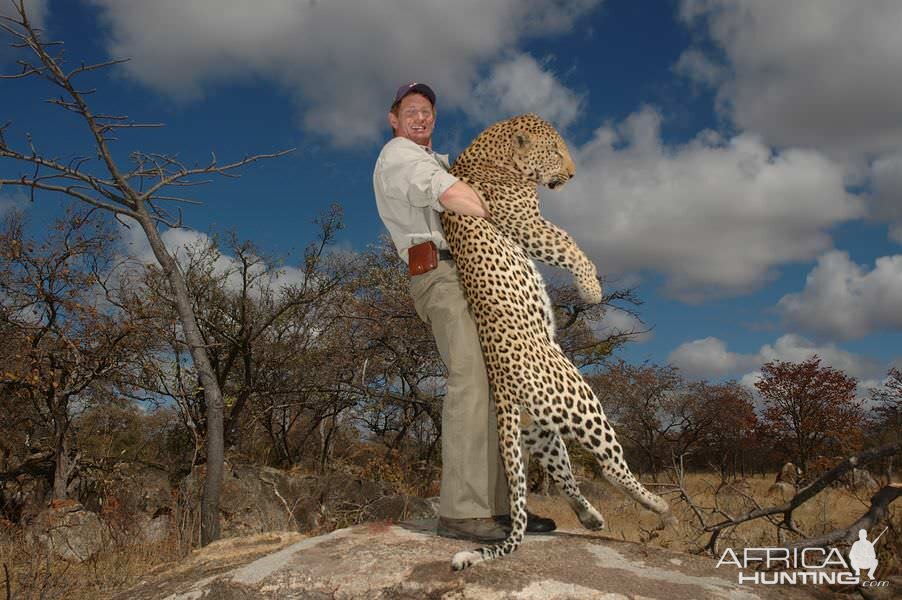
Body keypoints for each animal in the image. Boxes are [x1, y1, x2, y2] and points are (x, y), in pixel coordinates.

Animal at [440, 113, 672, 572]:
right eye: (556, 150)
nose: (573, 173)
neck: (492, 153)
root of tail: (502, 391)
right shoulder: (527, 223)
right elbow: (568, 244)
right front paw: (592, 289)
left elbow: (569, 240)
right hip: (581, 398)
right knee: (609, 466)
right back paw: (657, 504)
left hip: (540, 433)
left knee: (565, 475)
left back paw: (590, 517)